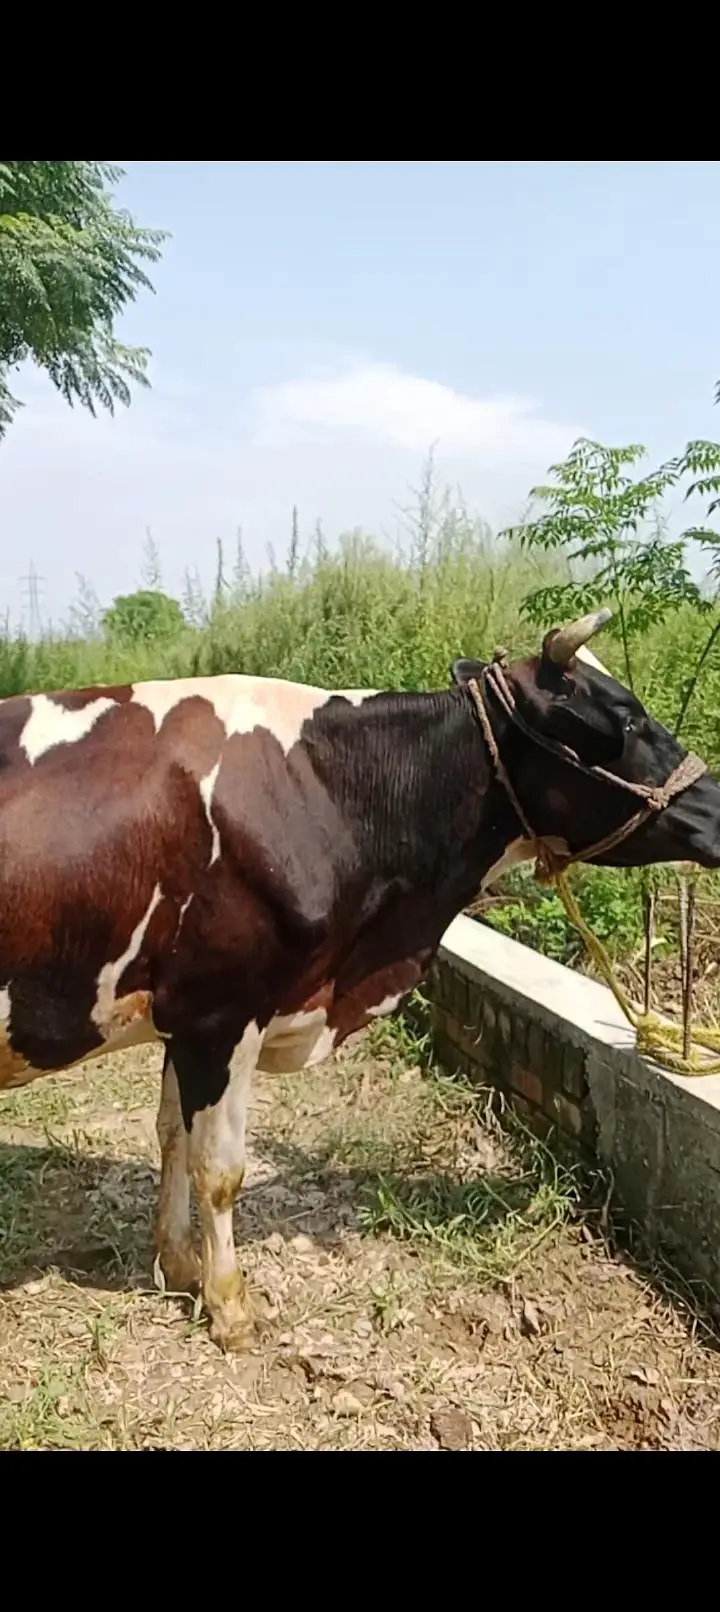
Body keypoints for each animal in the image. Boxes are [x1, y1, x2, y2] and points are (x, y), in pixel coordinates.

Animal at [1, 607, 719, 1352]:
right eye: (627, 722)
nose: (718, 812)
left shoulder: (183, 1013)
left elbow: (172, 1135)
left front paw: (176, 1265)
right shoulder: (223, 1012)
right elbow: (219, 1168)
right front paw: (230, 1308)